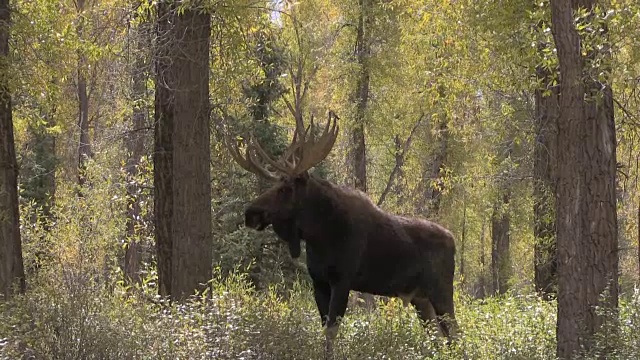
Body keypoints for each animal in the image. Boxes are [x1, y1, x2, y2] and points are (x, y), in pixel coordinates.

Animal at [222, 111, 458, 352]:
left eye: (285, 188)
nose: (250, 213)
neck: (318, 235)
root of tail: (453, 241)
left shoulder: (342, 280)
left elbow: (331, 332)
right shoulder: (319, 282)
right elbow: (323, 328)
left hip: (441, 291)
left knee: (454, 334)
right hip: (420, 299)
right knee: (438, 337)